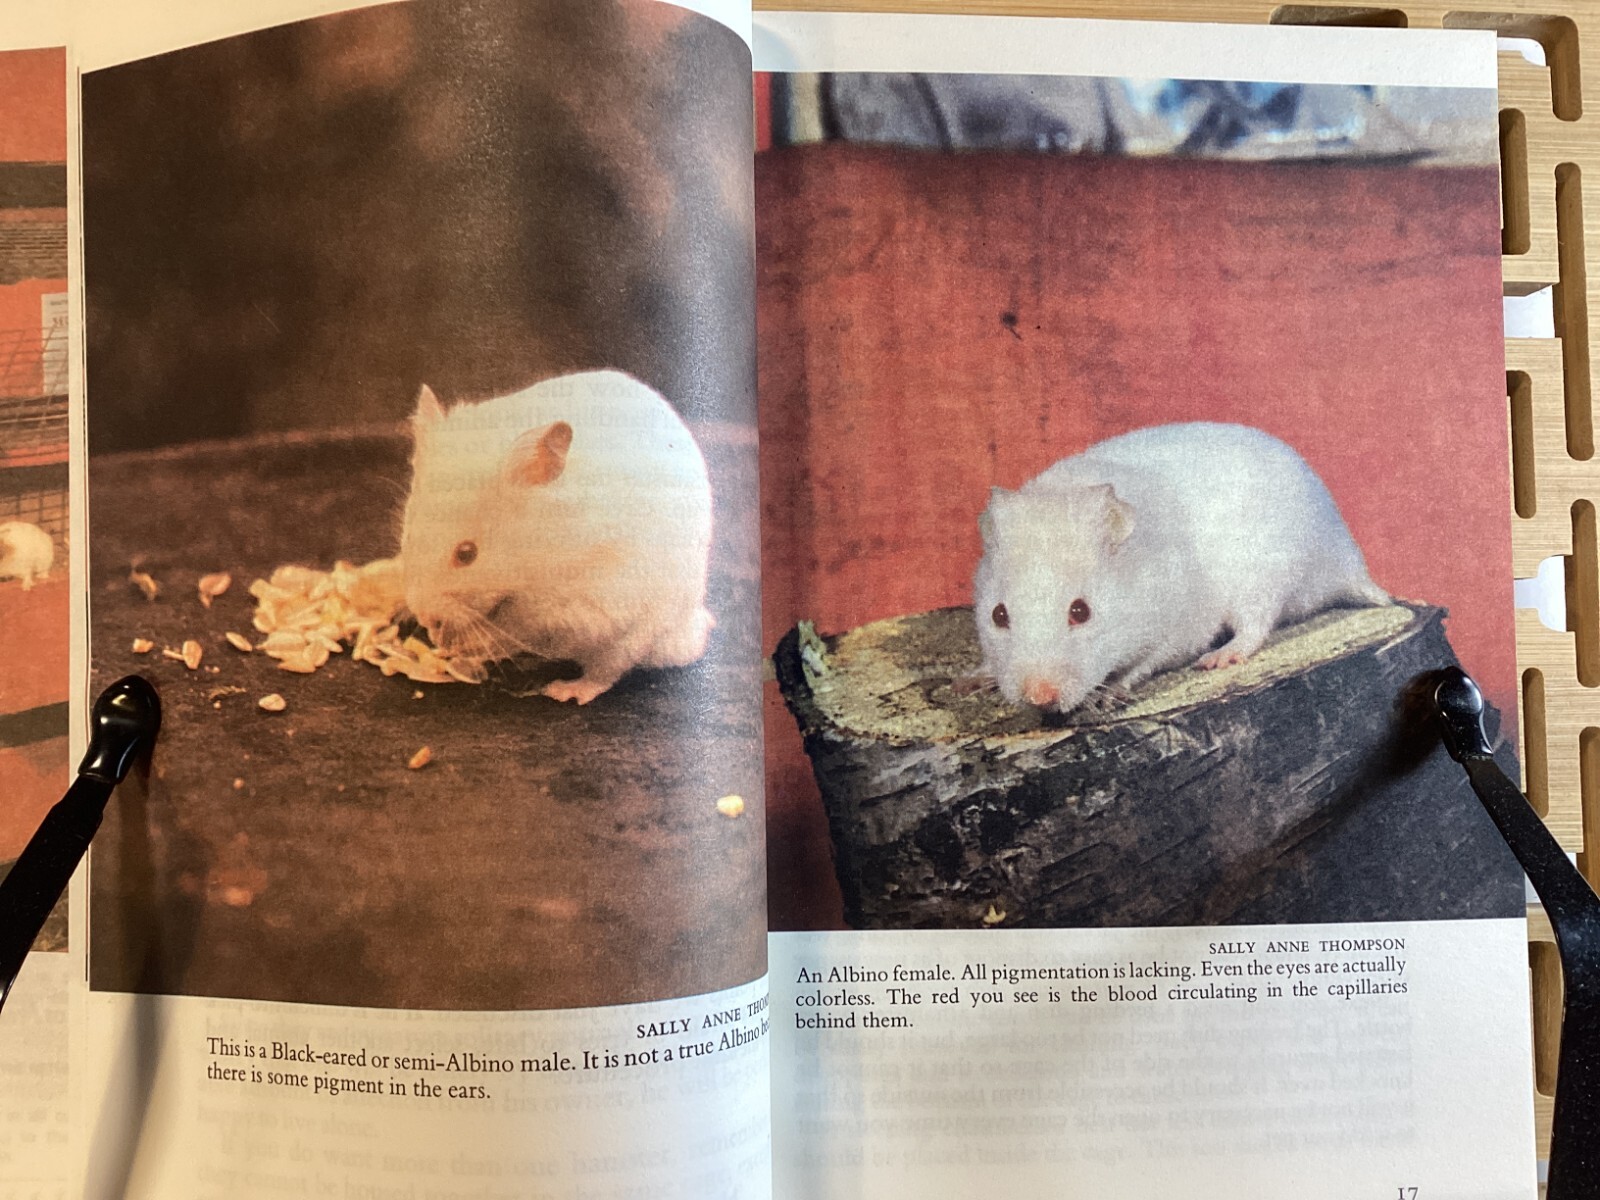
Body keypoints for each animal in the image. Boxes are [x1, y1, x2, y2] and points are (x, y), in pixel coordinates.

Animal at [400, 369, 715, 705]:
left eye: (467, 553)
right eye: (409, 534)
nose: (423, 617)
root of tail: (691, 624)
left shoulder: (577, 607)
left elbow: (515, 629)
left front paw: (460, 643)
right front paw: (439, 639)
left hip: (638, 632)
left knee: (606, 671)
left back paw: (564, 691)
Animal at [973, 422, 1388, 714]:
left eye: (1081, 611)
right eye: (998, 615)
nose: (1038, 699)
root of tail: (1346, 559)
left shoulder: (1180, 630)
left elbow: (1148, 663)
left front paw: (1112, 693)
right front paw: (977, 677)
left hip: (1265, 580)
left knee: (1255, 628)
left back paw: (1219, 659)